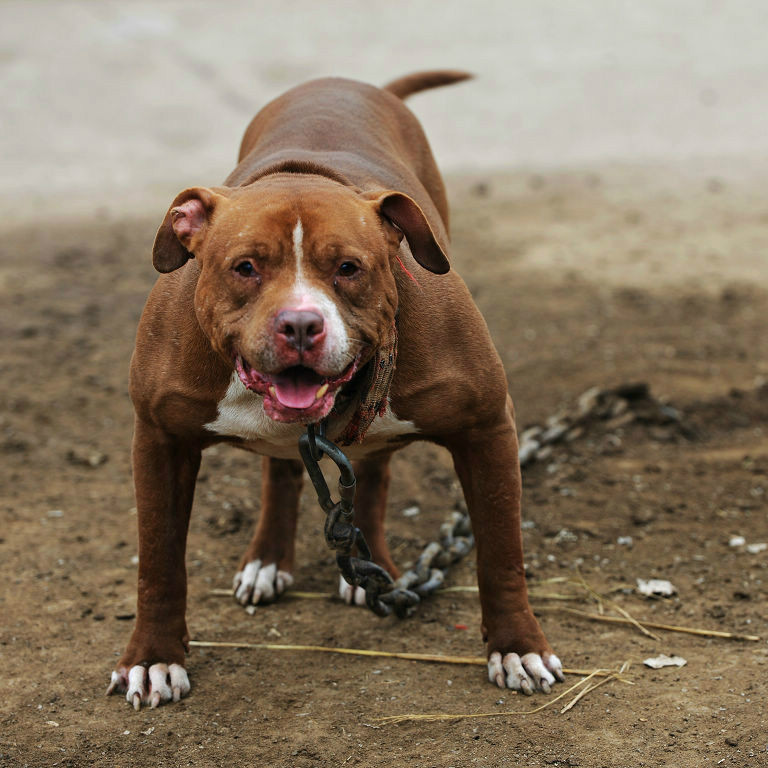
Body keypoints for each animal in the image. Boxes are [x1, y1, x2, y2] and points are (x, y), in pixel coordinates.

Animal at [108, 70, 564, 708]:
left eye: (349, 267)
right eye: (245, 267)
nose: (301, 325)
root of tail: (356, 83)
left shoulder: (488, 426)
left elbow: (501, 554)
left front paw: (517, 647)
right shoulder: (158, 439)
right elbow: (158, 561)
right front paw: (152, 659)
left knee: (370, 470)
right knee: (281, 470)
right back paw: (267, 560)